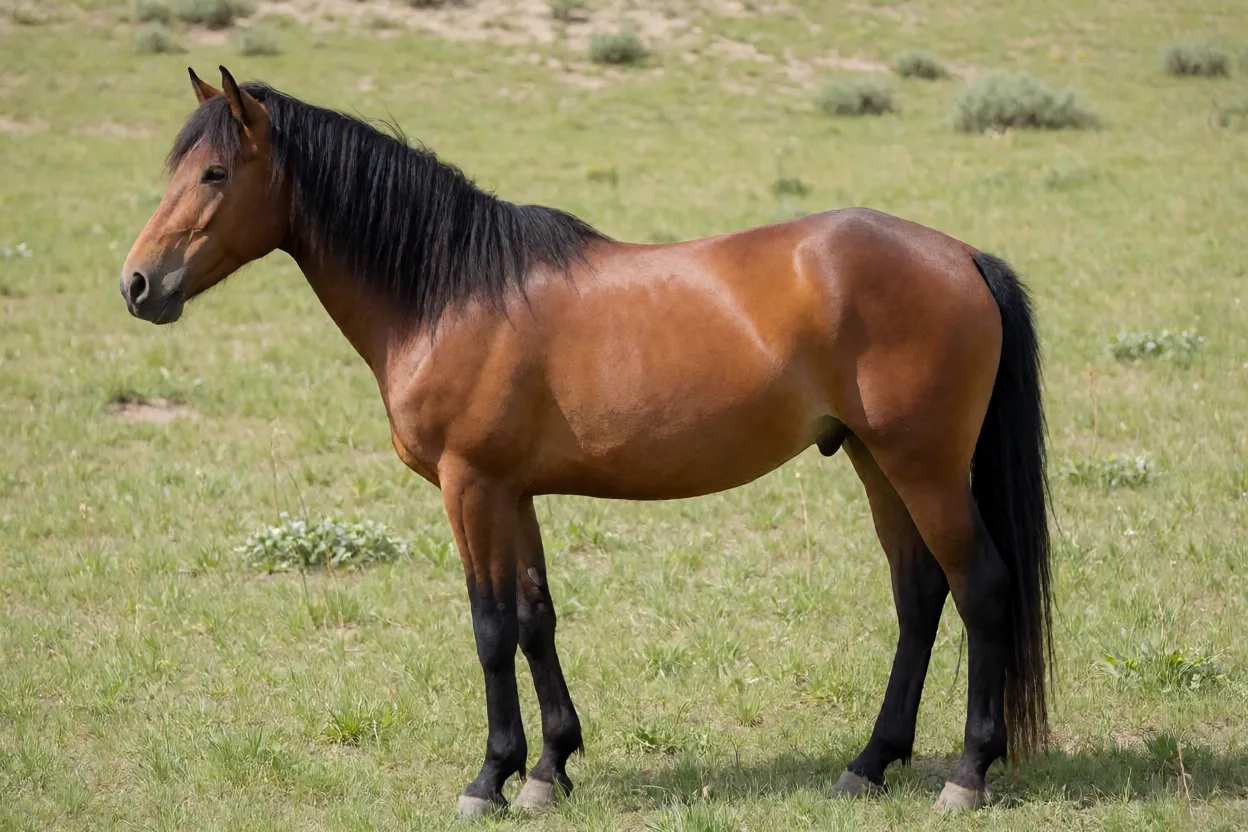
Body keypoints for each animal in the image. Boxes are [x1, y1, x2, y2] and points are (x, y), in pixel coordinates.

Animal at [121, 66, 1053, 816]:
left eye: (213, 172)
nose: (137, 284)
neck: (450, 291)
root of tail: (962, 257)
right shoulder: (513, 492)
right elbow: (536, 617)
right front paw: (550, 769)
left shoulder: (471, 487)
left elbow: (490, 625)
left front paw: (489, 778)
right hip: (875, 462)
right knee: (919, 596)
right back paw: (868, 764)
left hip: (924, 468)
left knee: (980, 588)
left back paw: (966, 774)